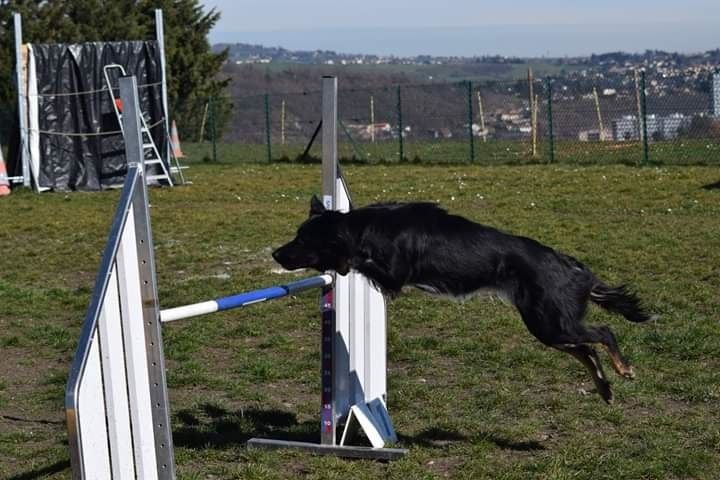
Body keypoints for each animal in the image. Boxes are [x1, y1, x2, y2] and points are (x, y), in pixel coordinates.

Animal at [272, 197, 656, 404]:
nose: (275, 253)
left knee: (603, 333)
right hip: (547, 326)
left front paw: (340, 261)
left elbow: (353, 260)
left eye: (302, 239)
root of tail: (574, 267)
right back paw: (605, 389)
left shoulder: (393, 274)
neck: (365, 228)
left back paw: (623, 370)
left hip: (551, 322)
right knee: (587, 349)